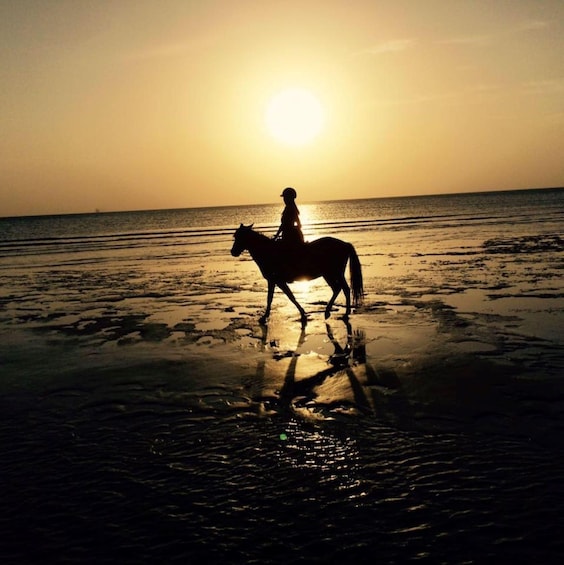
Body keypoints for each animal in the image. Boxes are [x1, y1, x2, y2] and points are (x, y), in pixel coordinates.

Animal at [230, 223, 366, 324]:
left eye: (239, 237)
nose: (233, 252)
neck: (268, 252)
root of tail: (345, 244)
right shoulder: (275, 281)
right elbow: (279, 297)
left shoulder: (276, 280)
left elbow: (282, 297)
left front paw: (265, 317)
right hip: (330, 274)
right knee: (340, 289)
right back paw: (334, 312)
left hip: (333, 273)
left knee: (343, 289)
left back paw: (341, 313)